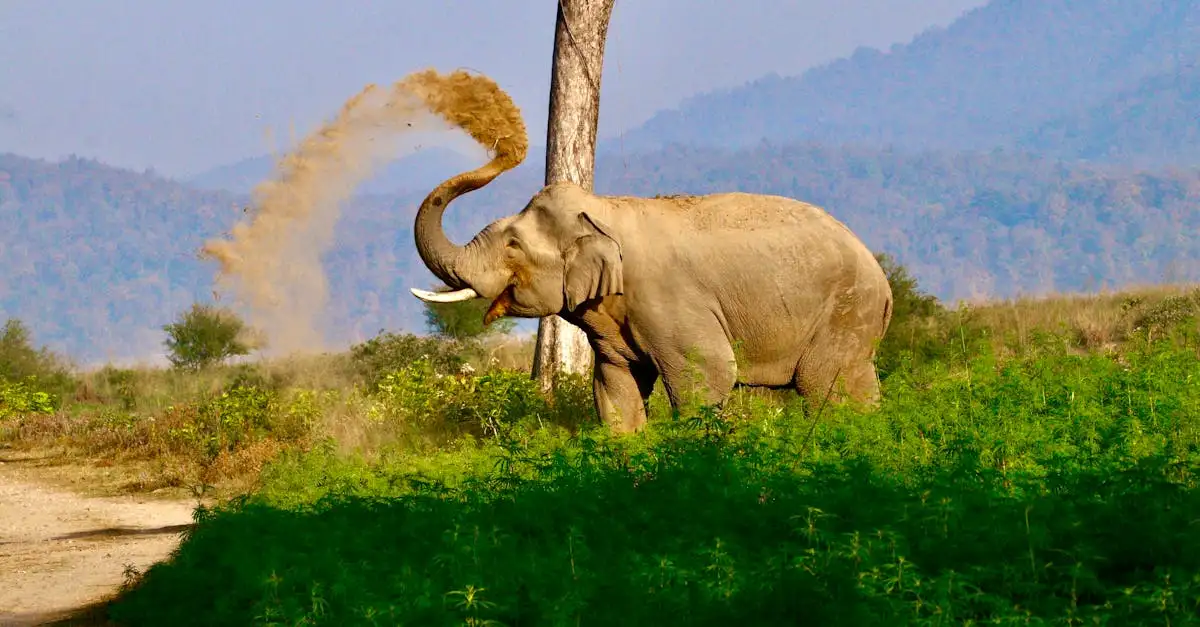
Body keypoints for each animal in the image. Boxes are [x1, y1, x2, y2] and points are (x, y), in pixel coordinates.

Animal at [409, 154, 894, 434]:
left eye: (512, 244)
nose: (500, 153)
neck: (603, 209)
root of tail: (883, 281)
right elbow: (615, 387)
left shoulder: (672, 302)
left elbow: (708, 377)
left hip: (845, 312)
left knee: (825, 387)